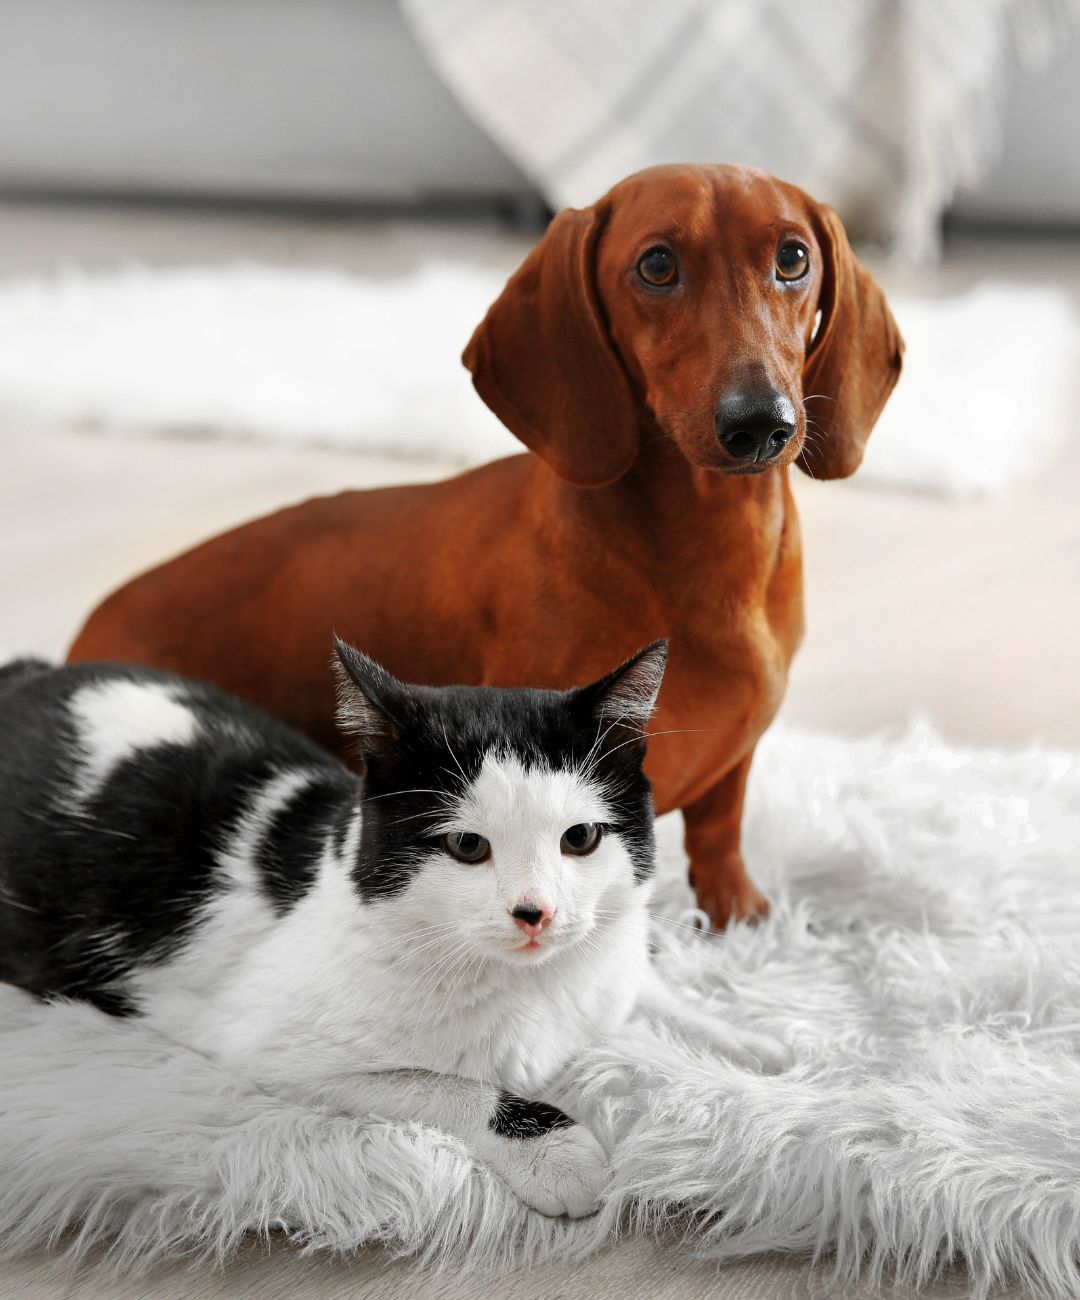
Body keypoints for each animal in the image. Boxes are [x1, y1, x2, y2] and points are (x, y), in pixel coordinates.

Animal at [0, 639, 779, 1216]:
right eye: (466, 846)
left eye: (580, 838)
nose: (536, 912)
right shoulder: (272, 1047)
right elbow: (449, 1086)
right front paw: (557, 1152)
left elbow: (643, 990)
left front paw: (749, 1045)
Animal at [67, 167, 904, 930]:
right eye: (658, 265)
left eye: (792, 257)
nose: (761, 422)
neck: (708, 550)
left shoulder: (731, 768)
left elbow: (720, 831)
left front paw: (739, 914)